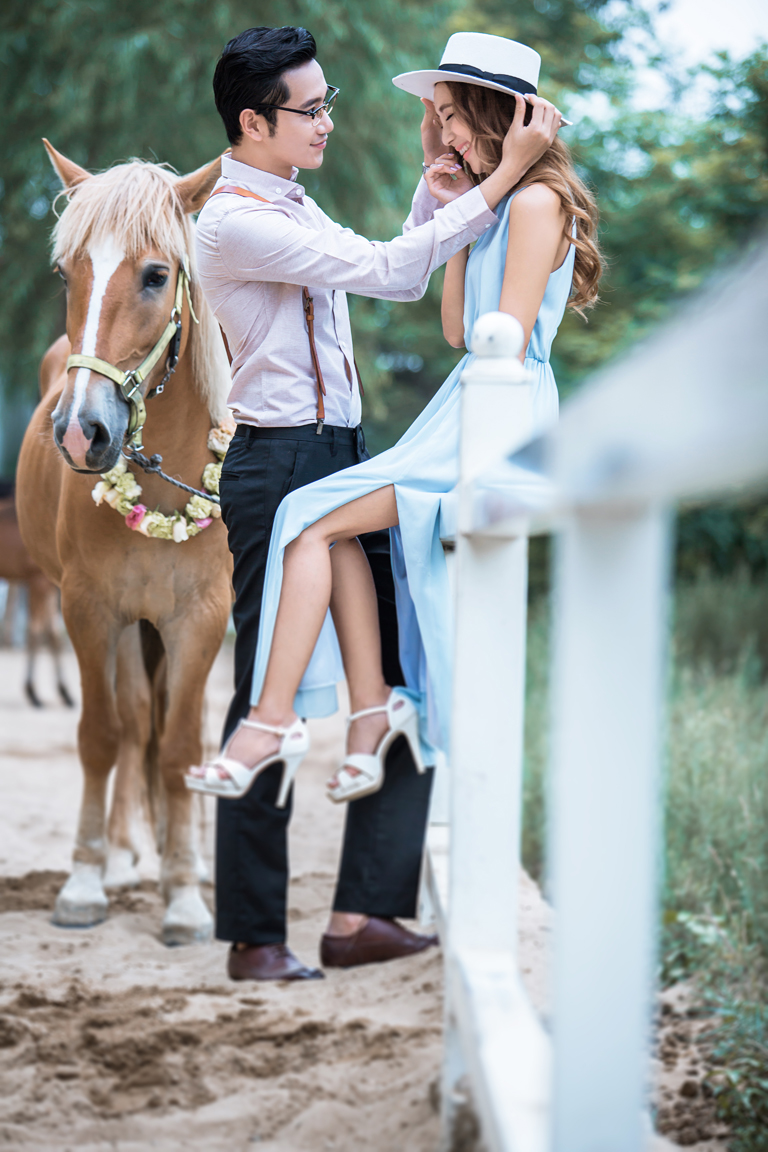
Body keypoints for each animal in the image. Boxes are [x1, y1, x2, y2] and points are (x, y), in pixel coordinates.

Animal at [0, 490, 74, 707]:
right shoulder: (38, 582)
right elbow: (35, 632)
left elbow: (53, 634)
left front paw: (64, 691)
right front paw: (32, 691)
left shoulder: (49, 587)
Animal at [16, 142, 233, 944]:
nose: (82, 432)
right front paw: (85, 881)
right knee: (136, 720)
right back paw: (123, 855)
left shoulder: (201, 619)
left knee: (173, 729)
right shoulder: (89, 610)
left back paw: (183, 854)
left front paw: (185, 895)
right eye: (65, 273)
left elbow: (180, 747)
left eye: (156, 274)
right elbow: (104, 736)